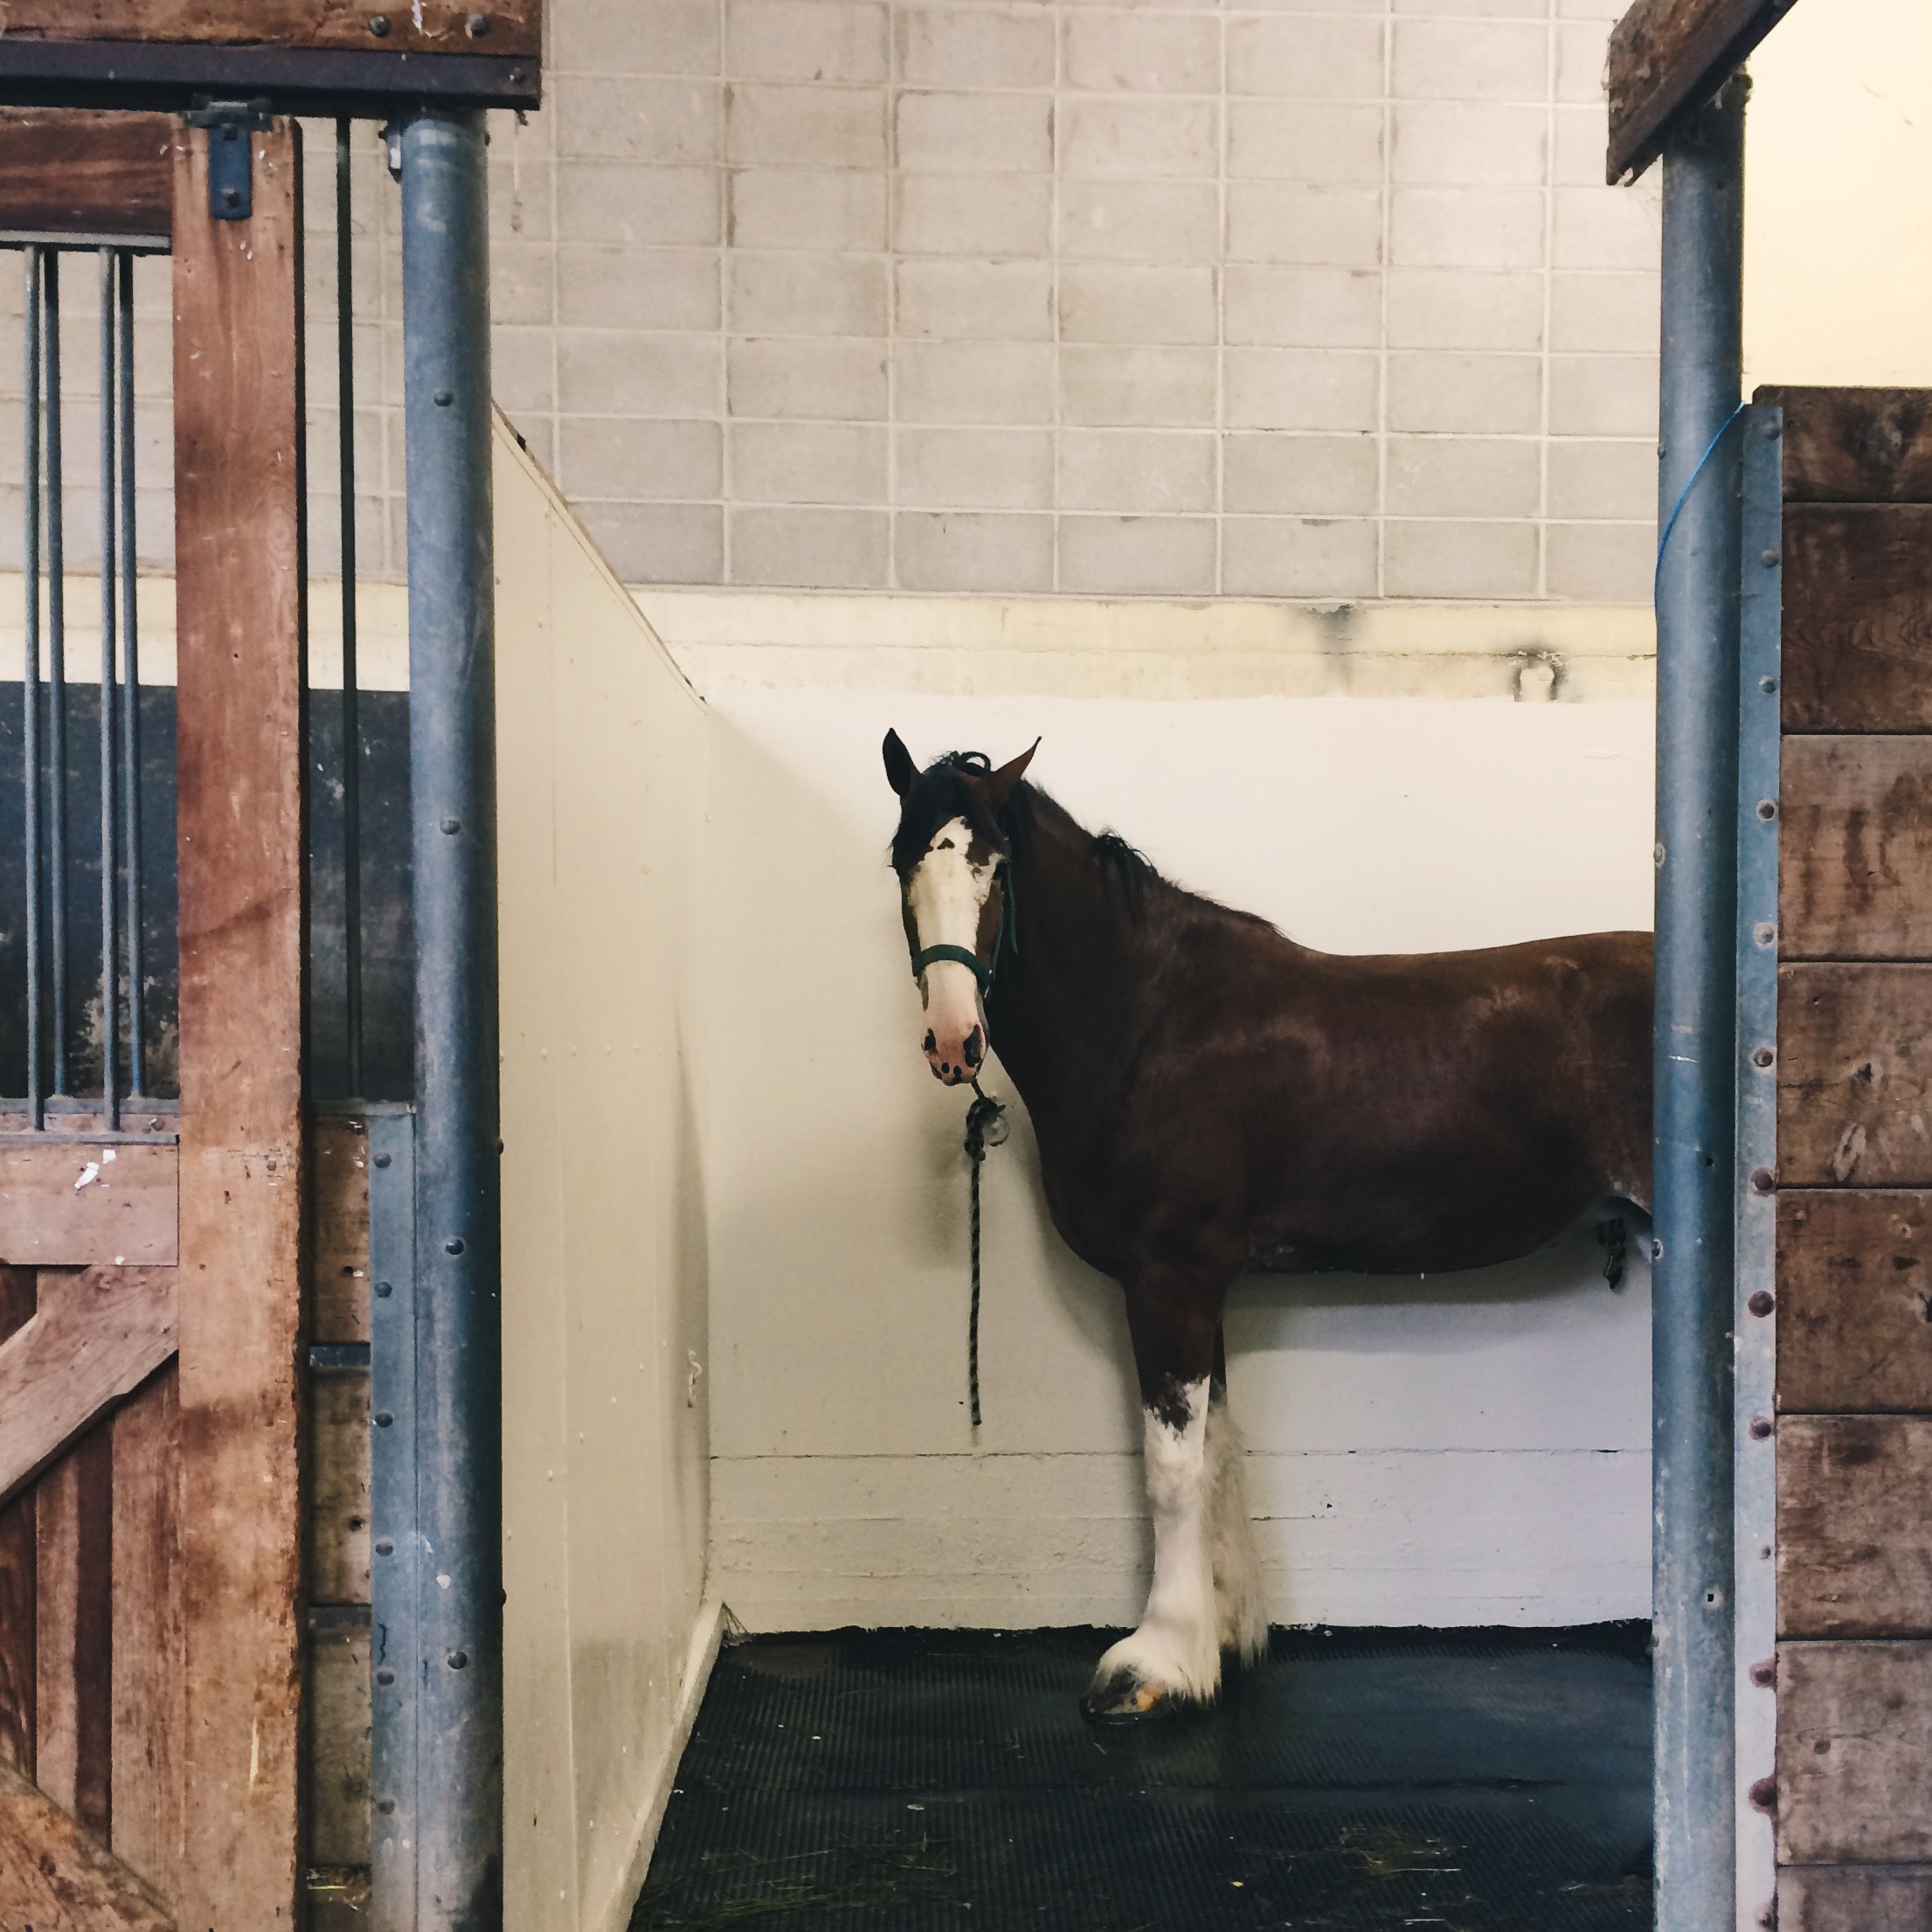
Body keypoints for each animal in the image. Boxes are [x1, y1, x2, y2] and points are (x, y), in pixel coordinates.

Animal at [884, 726, 1653, 1723]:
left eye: (995, 866)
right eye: (903, 858)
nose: (952, 1039)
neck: (1149, 1021)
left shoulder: (1168, 1277)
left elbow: (1170, 1467)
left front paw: (1154, 1666)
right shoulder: (1201, 1286)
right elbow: (1215, 1448)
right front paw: (1219, 1641)